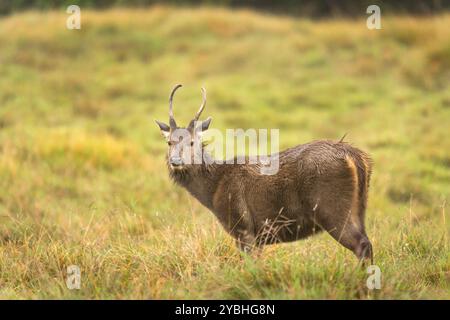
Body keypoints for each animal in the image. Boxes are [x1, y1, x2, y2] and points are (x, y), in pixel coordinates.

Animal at [155, 84, 372, 262]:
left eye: (192, 142)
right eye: (169, 142)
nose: (175, 162)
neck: (213, 189)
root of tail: (354, 155)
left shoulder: (243, 226)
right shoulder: (258, 236)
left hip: (332, 207)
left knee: (361, 245)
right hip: (358, 208)